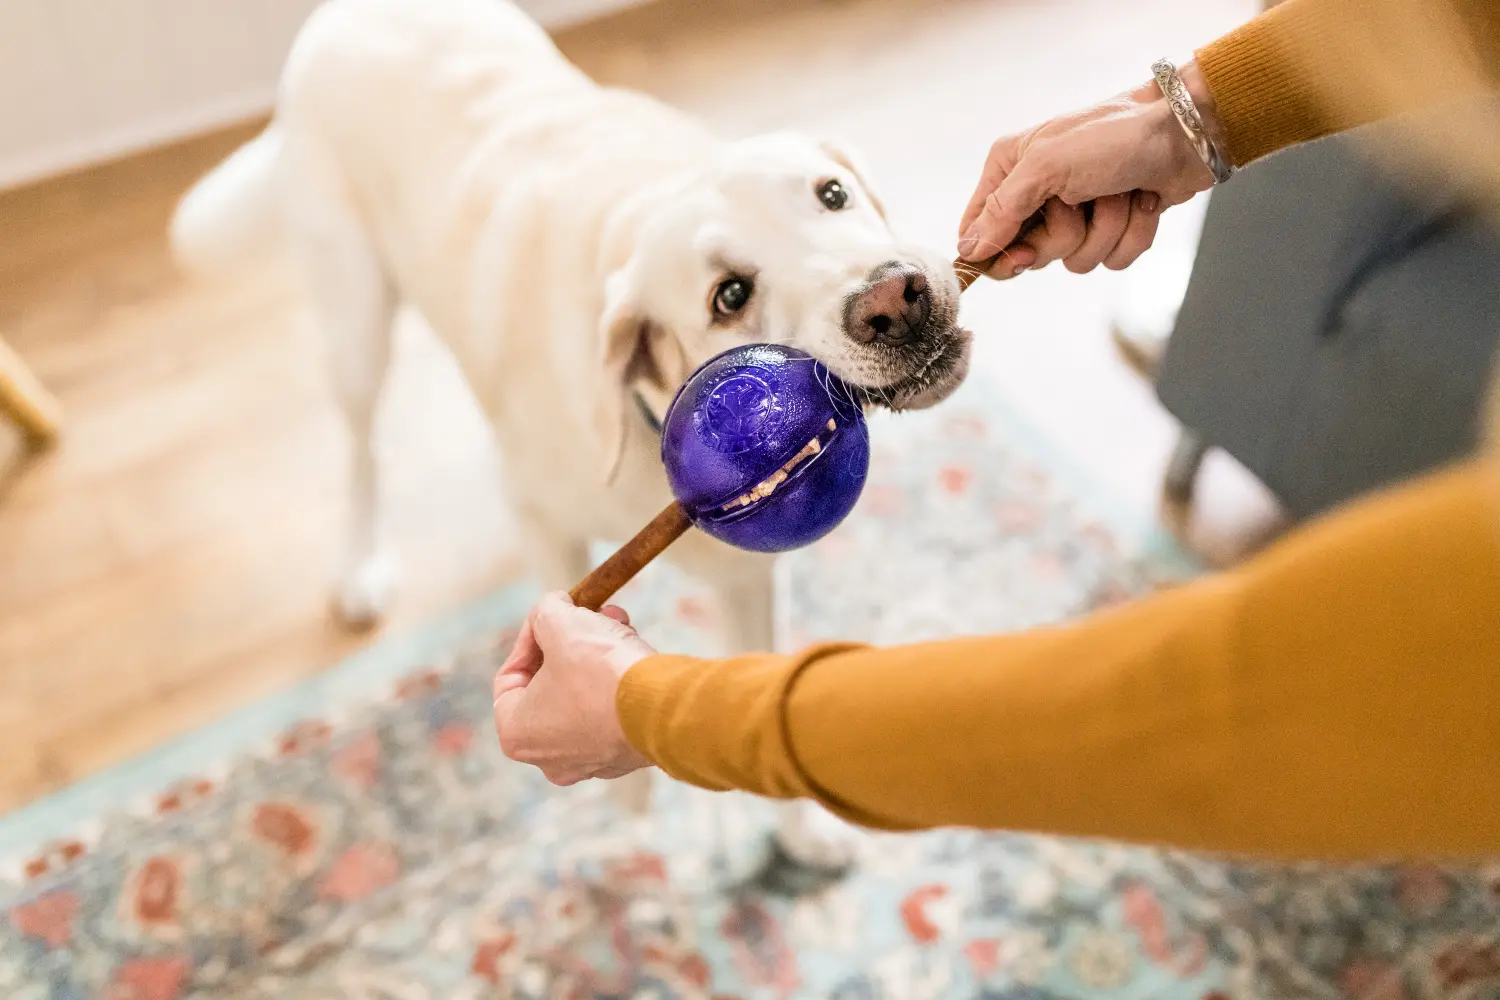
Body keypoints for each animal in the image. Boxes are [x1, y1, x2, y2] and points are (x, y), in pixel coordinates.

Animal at [172, 0, 972, 869]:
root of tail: (347, 12)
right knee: (358, 449)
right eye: (729, 296)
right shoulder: (546, 524)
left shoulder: (748, 577)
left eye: (832, 194)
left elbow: (767, 687)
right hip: (353, 316)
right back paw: (359, 568)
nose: (895, 298)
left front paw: (796, 831)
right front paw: (628, 804)